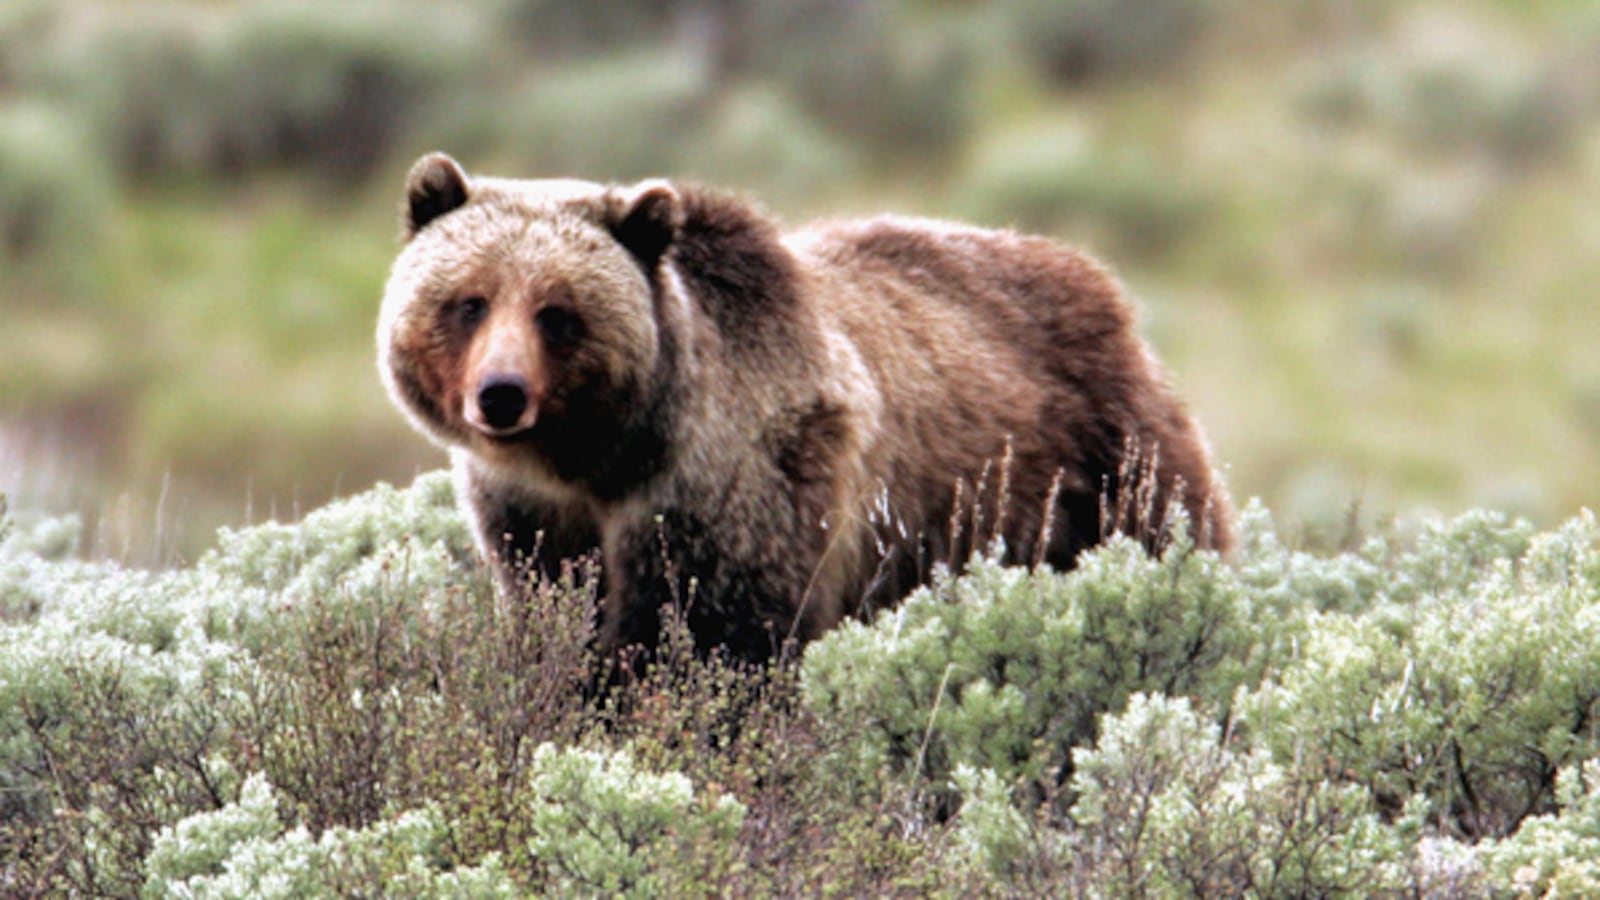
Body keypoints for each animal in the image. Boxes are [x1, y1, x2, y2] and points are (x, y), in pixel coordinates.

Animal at [378, 153, 1231, 667]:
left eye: (558, 312)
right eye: (469, 301)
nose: (501, 394)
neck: (603, 458)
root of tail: (1105, 287)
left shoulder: (737, 484)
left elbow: (716, 635)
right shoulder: (532, 514)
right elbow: (558, 610)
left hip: (1101, 467)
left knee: (1164, 528)